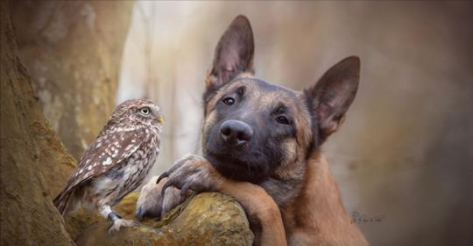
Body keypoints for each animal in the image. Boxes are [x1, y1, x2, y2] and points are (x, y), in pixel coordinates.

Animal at [135, 15, 368, 246]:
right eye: (229, 100)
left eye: (283, 120)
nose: (234, 132)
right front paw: (159, 188)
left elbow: (261, 198)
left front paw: (203, 171)